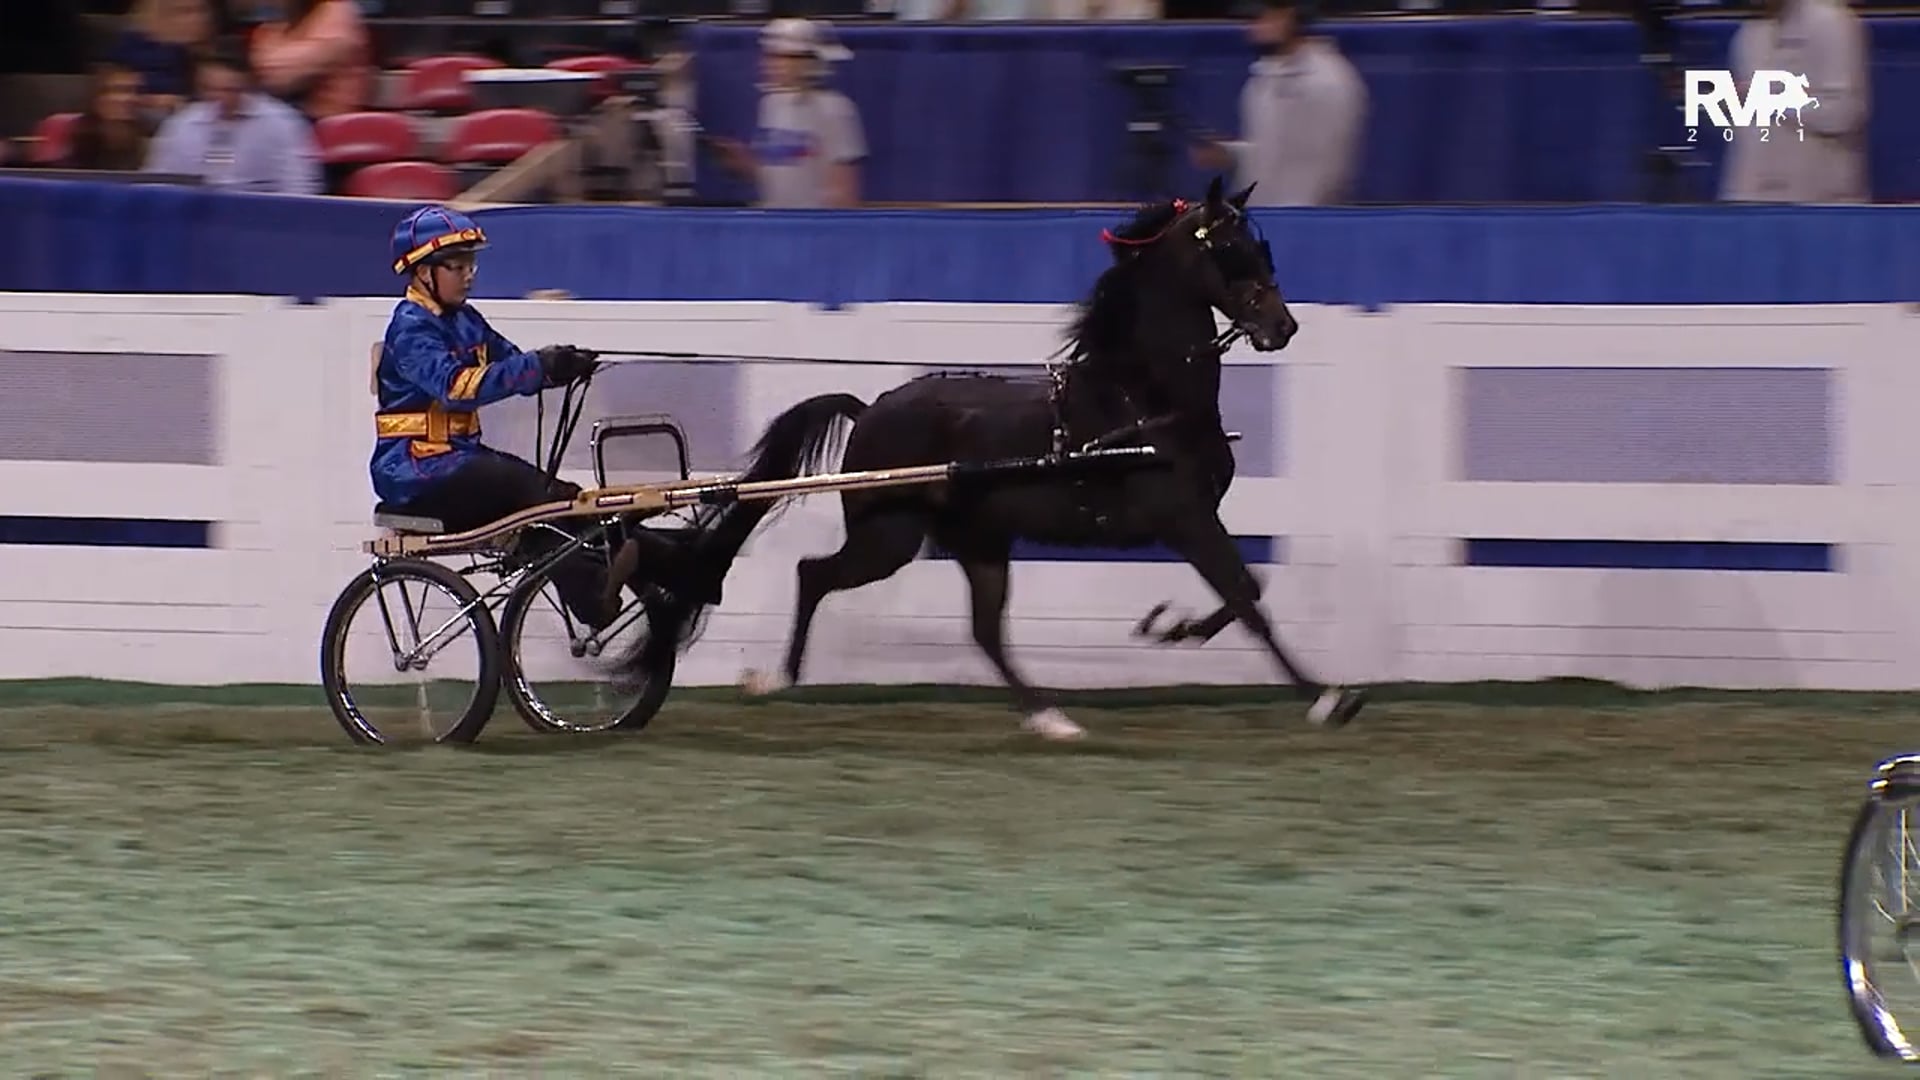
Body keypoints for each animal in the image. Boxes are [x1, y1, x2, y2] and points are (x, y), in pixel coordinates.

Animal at [625, 175, 1367, 740]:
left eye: (1262, 246)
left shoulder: (1196, 521)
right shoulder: (1182, 518)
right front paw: (1327, 698)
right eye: (1232, 250)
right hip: (890, 536)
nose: (1282, 326)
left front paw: (1173, 628)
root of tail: (871, 409)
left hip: (977, 540)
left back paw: (1049, 717)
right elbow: (1246, 597)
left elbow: (1246, 592)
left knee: (983, 630)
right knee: (815, 575)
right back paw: (778, 678)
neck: (1141, 399)